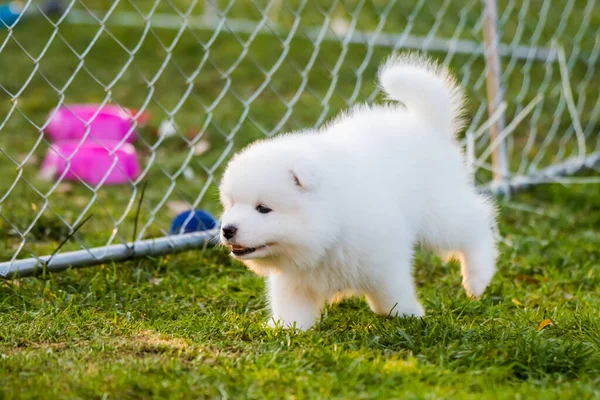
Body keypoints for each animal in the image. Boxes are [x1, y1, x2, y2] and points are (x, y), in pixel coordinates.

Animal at [218, 53, 500, 332]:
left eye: (263, 208)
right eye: (230, 204)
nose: (227, 229)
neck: (332, 226)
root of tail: (427, 125)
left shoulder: (385, 259)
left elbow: (392, 293)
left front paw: (408, 315)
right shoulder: (294, 280)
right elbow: (291, 306)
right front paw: (285, 328)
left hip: (438, 214)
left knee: (476, 223)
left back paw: (477, 278)